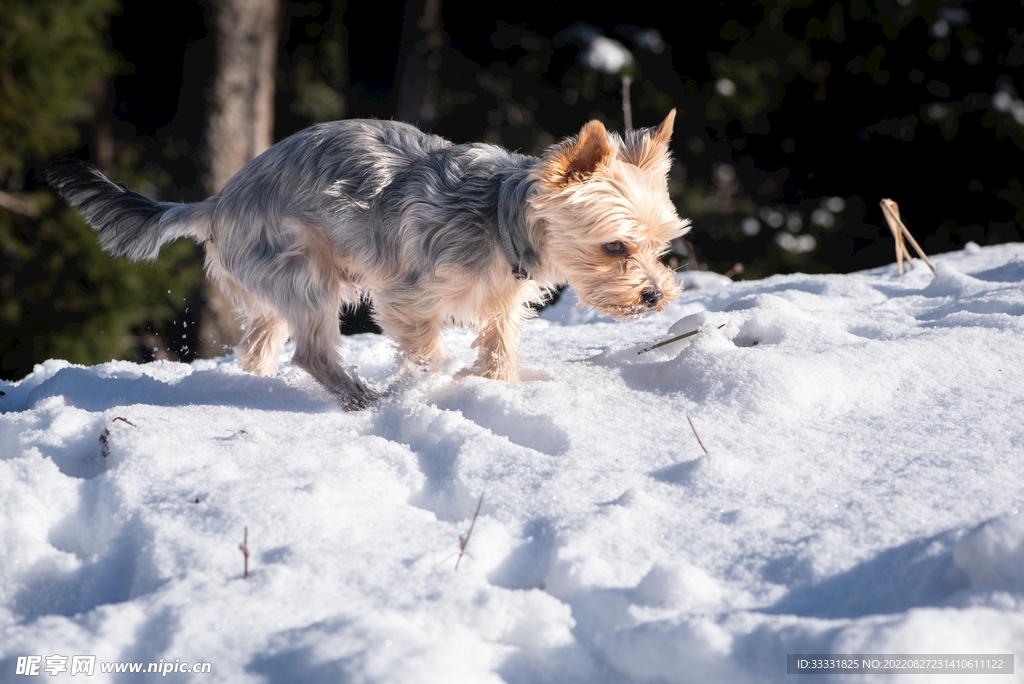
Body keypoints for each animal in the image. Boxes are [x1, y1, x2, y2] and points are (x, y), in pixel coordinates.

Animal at [46, 109, 688, 403]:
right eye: (615, 246)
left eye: (661, 247)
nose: (655, 296)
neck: (501, 219)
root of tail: (218, 202)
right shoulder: (408, 295)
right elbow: (426, 349)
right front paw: (433, 382)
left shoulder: (501, 302)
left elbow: (500, 345)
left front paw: (494, 384)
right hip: (304, 270)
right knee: (311, 350)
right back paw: (362, 399)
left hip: (270, 286)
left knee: (259, 347)